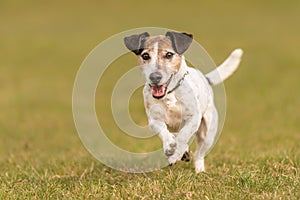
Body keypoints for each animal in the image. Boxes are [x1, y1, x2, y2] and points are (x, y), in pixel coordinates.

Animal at [123, 31, 243, 172]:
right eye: (145, 56)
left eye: (169, 54)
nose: (155, 77)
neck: (169, 94)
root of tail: (204, 78)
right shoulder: (154, 120)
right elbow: (165, 132)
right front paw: (170, 147)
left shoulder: (193, 118)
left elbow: (183, 136)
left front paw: (175, 155)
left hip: (208, 133)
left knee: (198, 153)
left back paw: (199, 170)